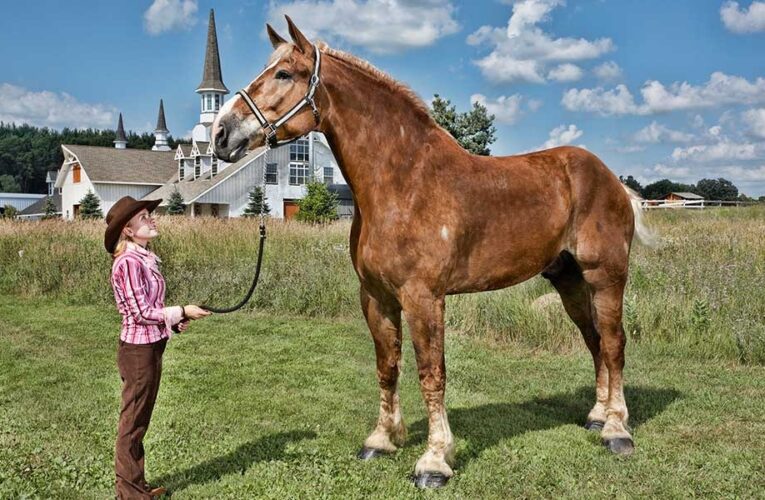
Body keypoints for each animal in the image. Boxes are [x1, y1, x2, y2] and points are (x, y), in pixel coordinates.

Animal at [213, 17, 652, 490]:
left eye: (283, 74)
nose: (221, 133)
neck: (404, 183)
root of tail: (612, 181)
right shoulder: (376, 297)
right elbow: (388, 366)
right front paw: (381, 440)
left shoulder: (423, 297)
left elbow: (431, 373)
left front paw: (435, 460)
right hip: (569, 279)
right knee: (593, 341)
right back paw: (597, 416)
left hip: (606, 276)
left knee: (613, 343)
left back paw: (616, 430)